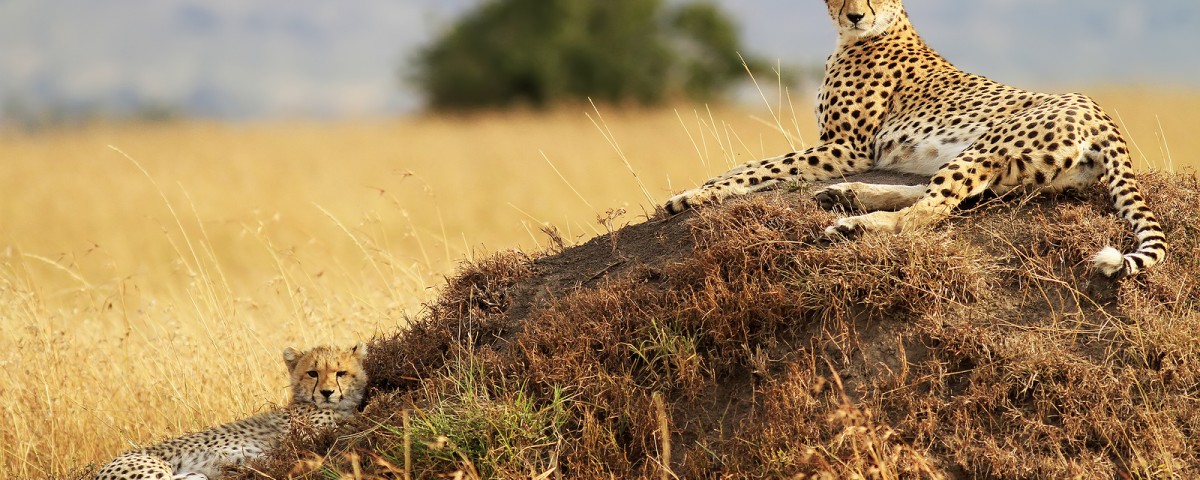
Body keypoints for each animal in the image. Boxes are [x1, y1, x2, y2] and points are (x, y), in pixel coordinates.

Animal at [662, 0, 1166, 277]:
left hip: (989, 146)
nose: (855, 15)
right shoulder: (837, 145)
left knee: (926, 213)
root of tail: (1105, 117)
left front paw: (691, 196)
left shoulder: (845, 146)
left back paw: (854, 223)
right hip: (1010, 172)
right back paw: (847, 196)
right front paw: (702, 188)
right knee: (943, 197)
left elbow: (759, 167)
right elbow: (749, 166)